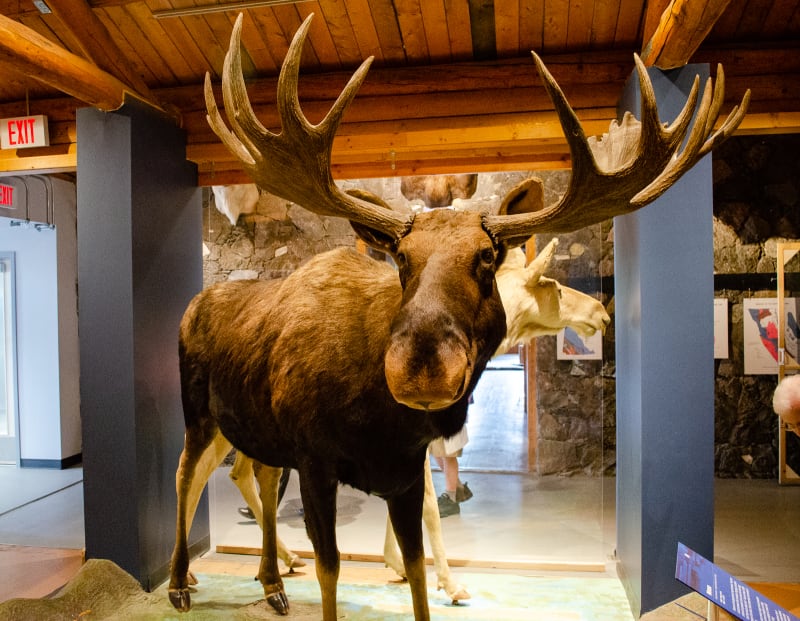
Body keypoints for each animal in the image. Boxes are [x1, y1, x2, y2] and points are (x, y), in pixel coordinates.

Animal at [167, 10, 752, 620]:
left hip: (255, 428)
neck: (379, 417)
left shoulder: (399, 471)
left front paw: (427, 578)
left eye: (487, 256)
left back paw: (272, 579)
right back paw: (183, 580)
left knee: (252, 470)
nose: (422, 366)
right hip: (199, 413)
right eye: (401, 257)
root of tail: (194, 304)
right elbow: (333, 571)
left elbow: (418, 567)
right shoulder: (318, 463)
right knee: (186, 474)